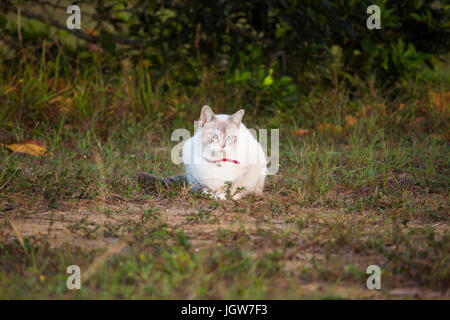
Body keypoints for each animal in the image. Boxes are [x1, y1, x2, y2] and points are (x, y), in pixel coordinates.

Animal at [136, 105, 268, 200]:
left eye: (230, 138)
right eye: (214, 136)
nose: (223, 146)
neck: (217, 163)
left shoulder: (251, 170)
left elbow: (236, 186)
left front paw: (225, 196)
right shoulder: (198, 177)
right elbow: (207, 188)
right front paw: (211, 194)